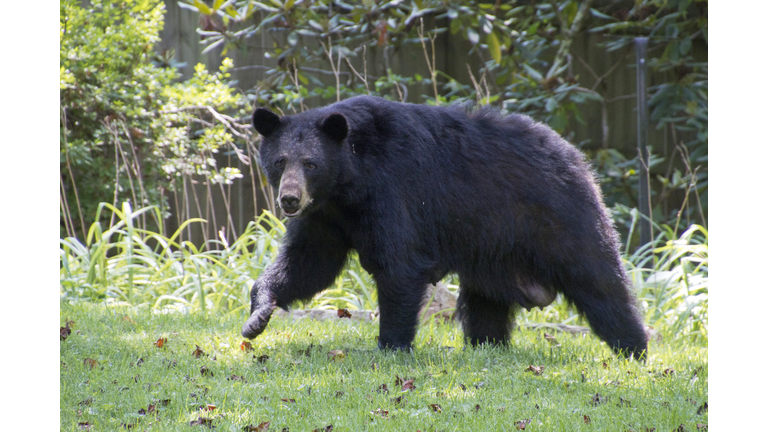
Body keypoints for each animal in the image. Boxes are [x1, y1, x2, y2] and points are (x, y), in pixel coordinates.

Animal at [244, 96, 648, 360]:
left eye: (311, 163)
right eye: (280, 161)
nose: (290, 200)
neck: (348, 184)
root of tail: (579, 159)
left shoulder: (395, 191)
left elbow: (400, 264)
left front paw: (391, 346)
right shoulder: (326, 217)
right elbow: (309, 263)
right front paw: (257, 316)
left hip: (560, 219)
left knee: (599, 281)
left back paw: (634, 348)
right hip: (494, 256)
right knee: (485, 306)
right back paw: (487, 346)